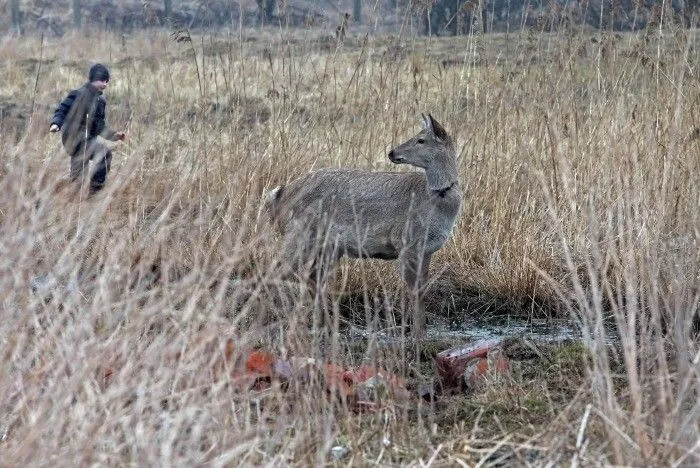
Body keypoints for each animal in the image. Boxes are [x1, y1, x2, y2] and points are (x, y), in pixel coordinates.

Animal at [266, 115, 462, 338]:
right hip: (299, 235)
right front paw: (416, 336)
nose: (392, 152)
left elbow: (422, 289)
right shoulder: (406, 243)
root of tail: (279, 194)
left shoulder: (427, 250)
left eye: (421, 140)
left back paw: (326, 327)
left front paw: (421, 334)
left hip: (329, 247)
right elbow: (415, 291)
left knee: (313, 278)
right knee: (276, 272)